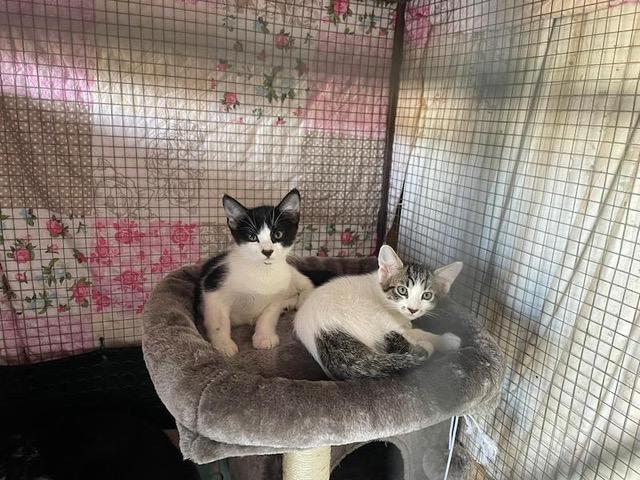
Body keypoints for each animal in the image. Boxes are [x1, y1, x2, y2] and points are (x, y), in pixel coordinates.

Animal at [196, 189, 314, 356]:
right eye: (252, 237)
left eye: (277, 234)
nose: (267, 251)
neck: (262, 272)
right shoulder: (213, 286)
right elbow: (218, 321)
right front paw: (223, 344)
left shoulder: (277, 294)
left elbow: (269, 315)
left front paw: (265, 336)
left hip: (291, 274)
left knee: (307, 283)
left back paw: (299, 301)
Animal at [294, 245, 463, 380]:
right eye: (402, 290)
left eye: (426, 295)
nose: (413, 309)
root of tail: (322, 332)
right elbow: (415, 331)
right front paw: (444, 340)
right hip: (370, 313)